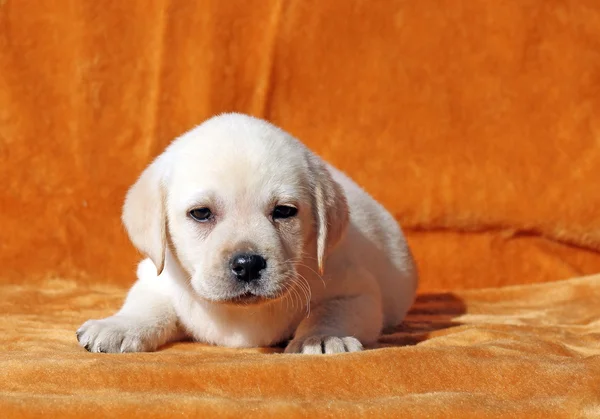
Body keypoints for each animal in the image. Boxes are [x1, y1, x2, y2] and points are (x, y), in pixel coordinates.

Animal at [76, 114, 418, 354]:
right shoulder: (155, 278)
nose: (248, 264)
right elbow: (145, 305)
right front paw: (118, 326)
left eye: (284, 211)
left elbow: (329, 312)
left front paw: (322, 337)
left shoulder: (357, 291)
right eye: (201, 213)